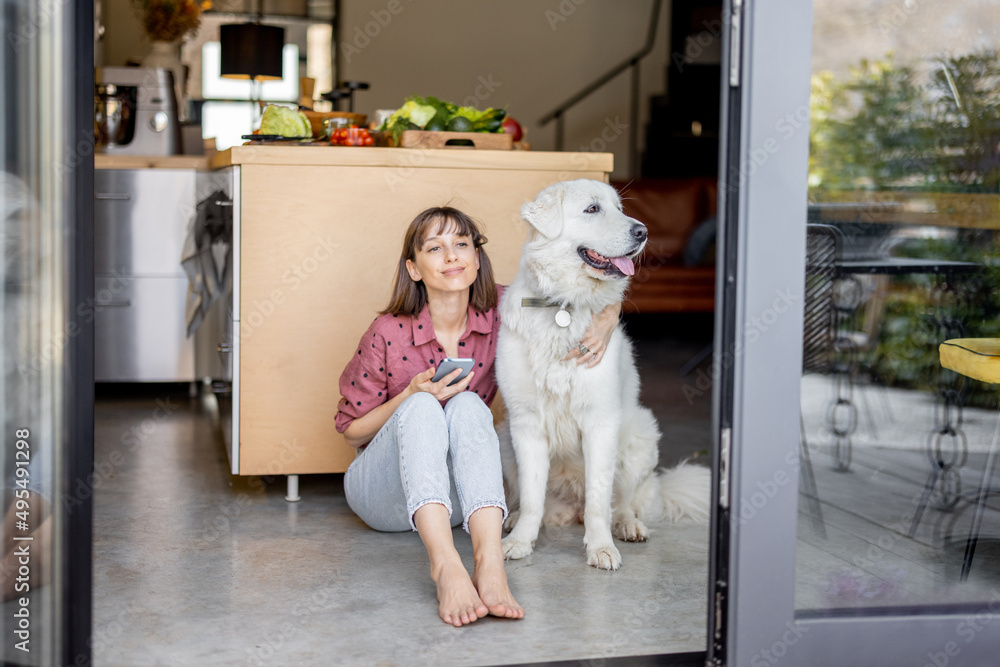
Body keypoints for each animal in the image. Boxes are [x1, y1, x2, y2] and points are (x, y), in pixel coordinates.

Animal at [496, 180, 708, 572]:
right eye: (592, 209)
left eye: (619, 208)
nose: (643, 232)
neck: (564, 305)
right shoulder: (526, 424)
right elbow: (532, 497)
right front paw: (519, 542)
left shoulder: (600, 422)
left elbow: (599, 500)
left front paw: (600, 548)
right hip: (504, 440)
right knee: (530, 500)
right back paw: (515, 520)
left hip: (638, 437)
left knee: (620, 502)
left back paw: (627, 526)